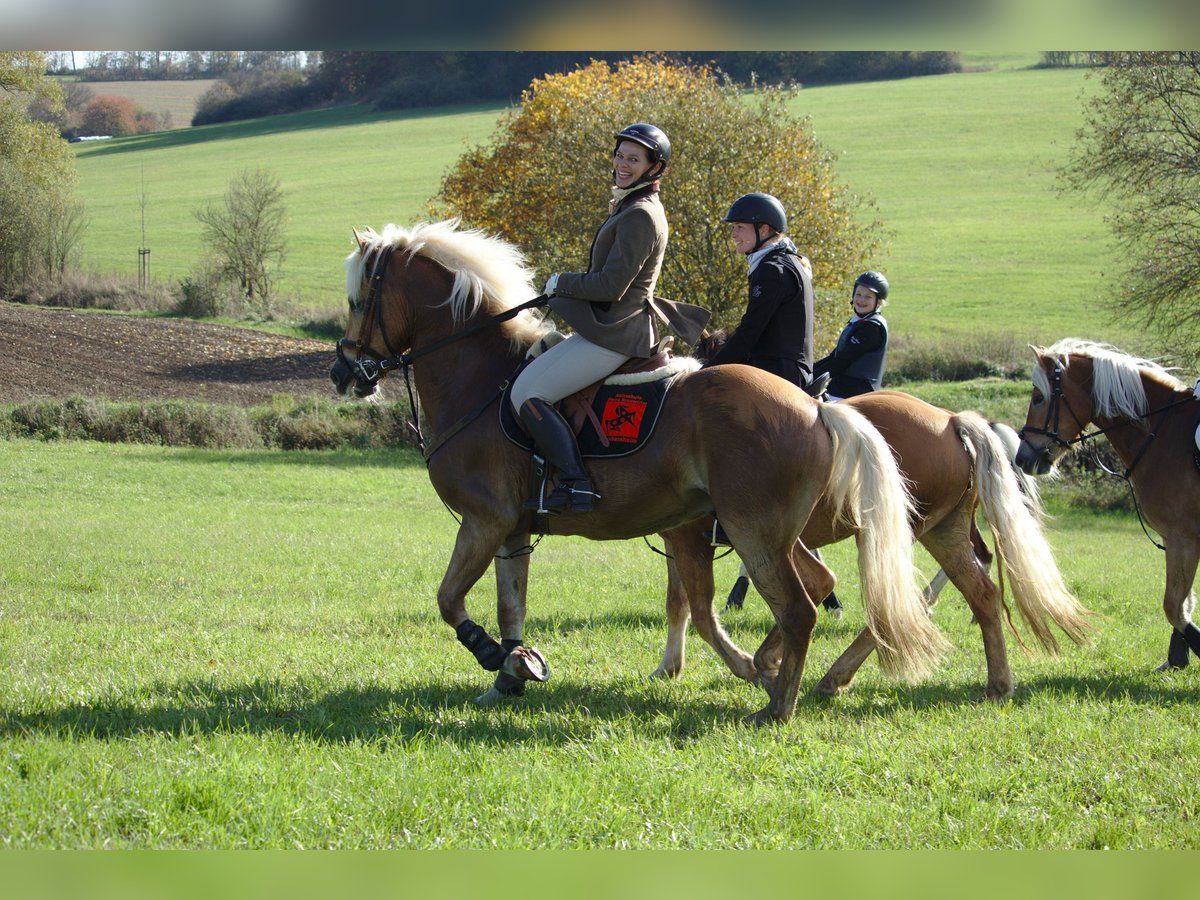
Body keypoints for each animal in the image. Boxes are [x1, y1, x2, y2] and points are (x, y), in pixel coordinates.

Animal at [331, 222, 945, 729]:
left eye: (358, 300)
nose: (344, 373)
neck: (480, 376)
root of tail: (816, 408)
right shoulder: (510, 529)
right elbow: (511, 605)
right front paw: (511, 674)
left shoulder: (483, 521)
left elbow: (449, 600)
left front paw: (493, 656)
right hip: (769, 532)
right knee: (810, 590)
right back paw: (775, 677)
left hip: (754, 532)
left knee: (798, 608)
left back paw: (776, 704)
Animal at [657, 391, 1099, 700]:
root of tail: (951, 421)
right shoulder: (683, 538)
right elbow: (679, 603)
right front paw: (670, 666)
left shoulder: (693, 537)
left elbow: (701, 607)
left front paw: (749, 662)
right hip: (943, 531)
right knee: (978, 593)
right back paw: (997, 683)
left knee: (897, 602)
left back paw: (831, 673)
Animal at [1017, 340, 1200, 672]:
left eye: (1038, 397)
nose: (1022, 458)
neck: (1163, 433)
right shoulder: (1179, 540)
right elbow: (1184, 604)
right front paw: (1176, 659)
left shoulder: (1183, 537)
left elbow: (1174, 606)